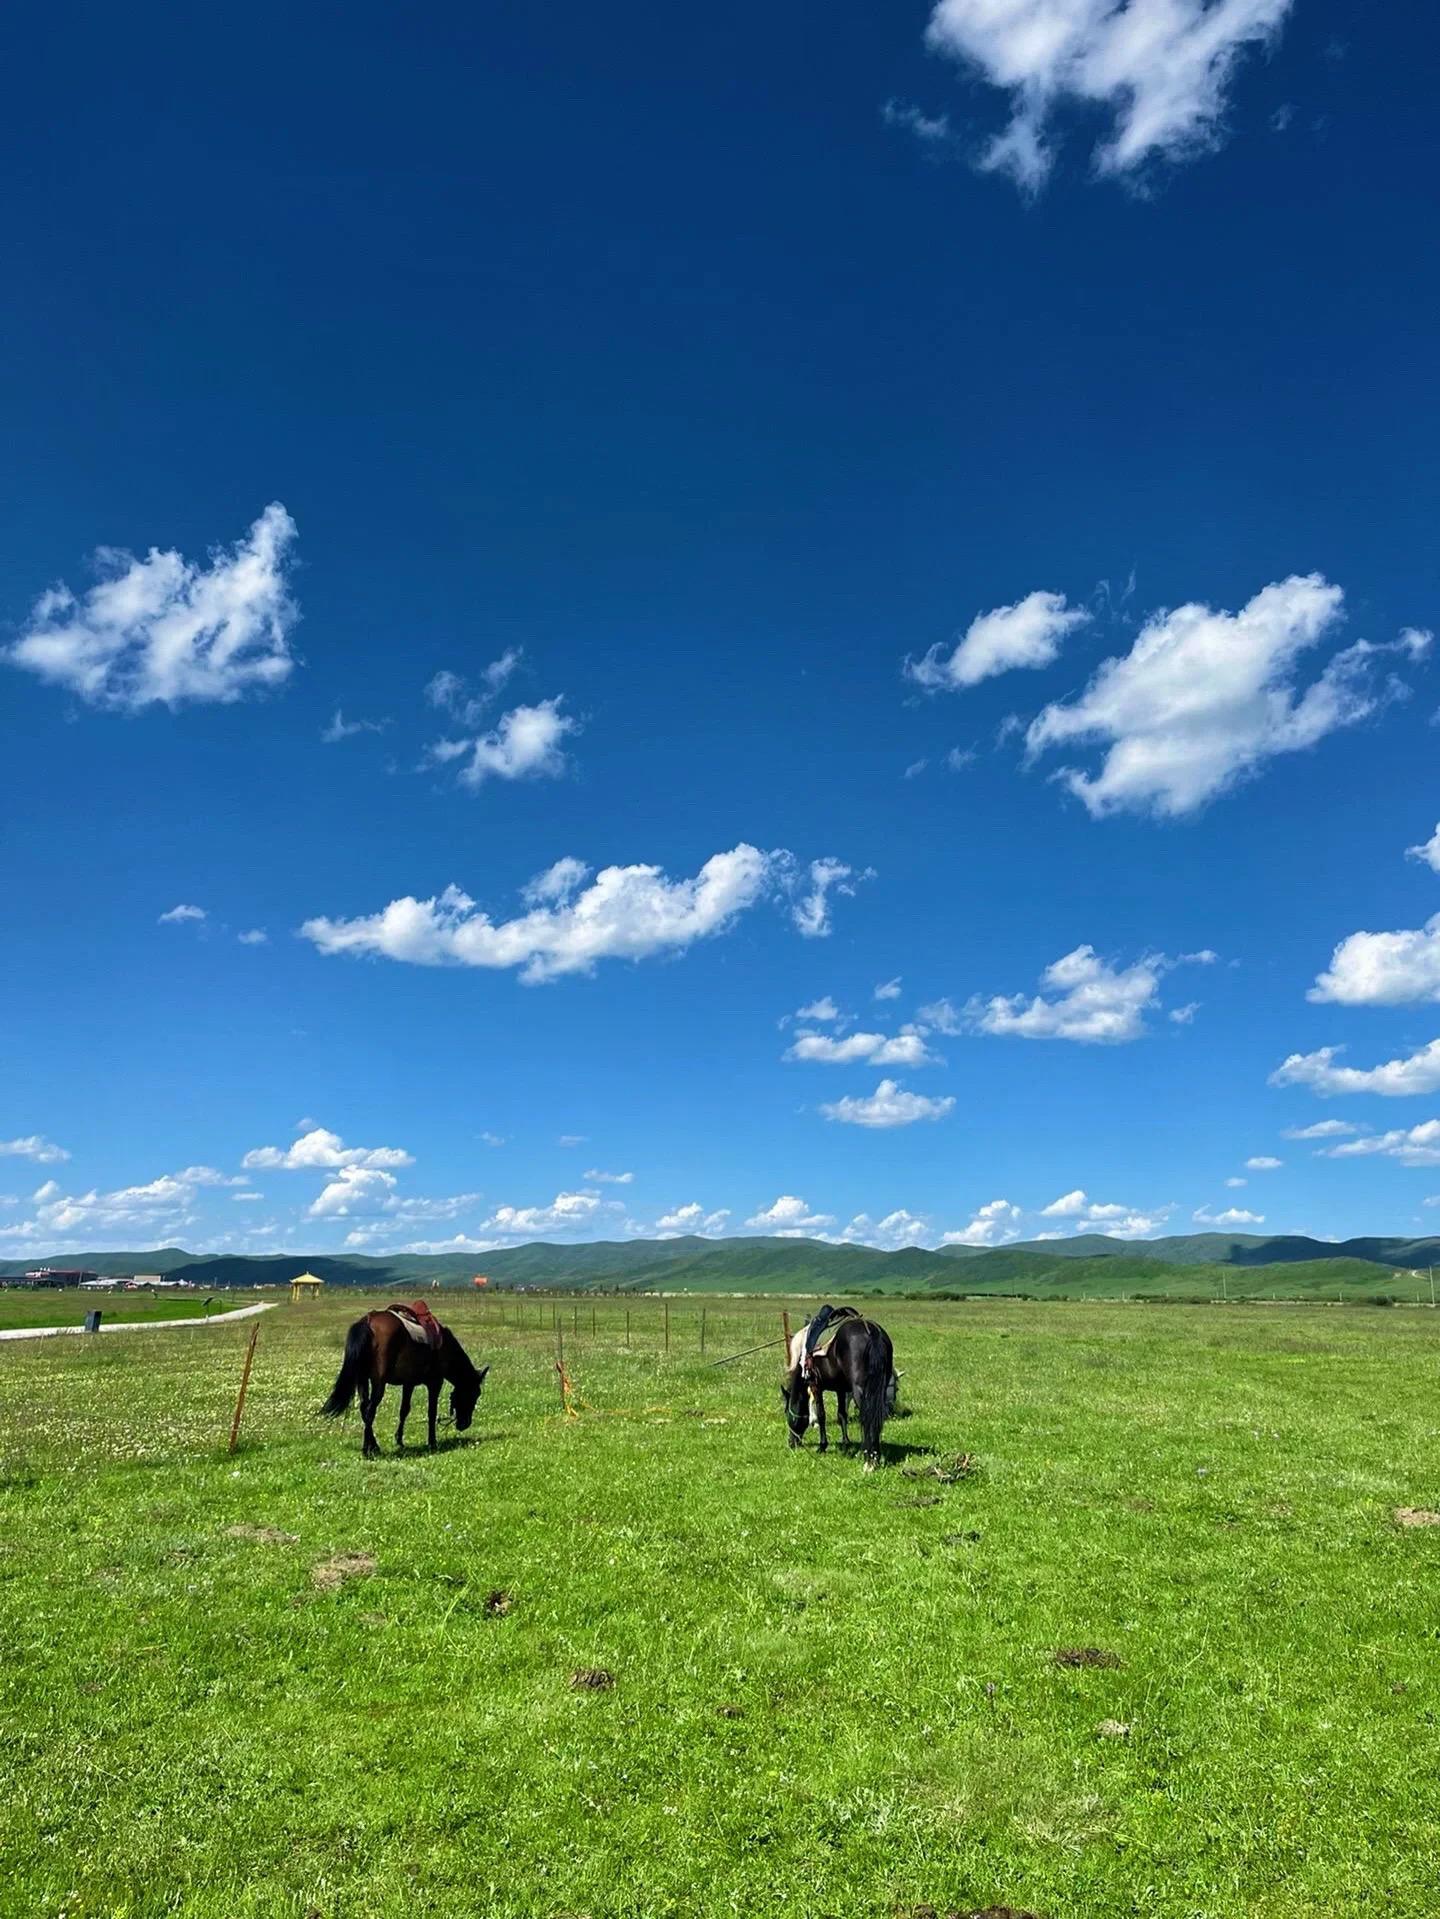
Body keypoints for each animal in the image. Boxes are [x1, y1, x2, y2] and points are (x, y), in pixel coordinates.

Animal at [320, 1304, 491, 1450]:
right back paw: (369, 1449)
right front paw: (432, 1442)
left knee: (364, 1408)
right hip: (378, 1383)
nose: (464, 1424)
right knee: (370, 1410)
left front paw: (399, 1440)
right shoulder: (435, 1383)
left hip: (363, 1379)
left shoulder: (409, 1383)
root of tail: (368, 1321)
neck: (445, 1349)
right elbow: (431, 1412)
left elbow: (404, 1410)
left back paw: (373, 1445)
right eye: (474, 1394)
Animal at [783, 1304, 898, 1466]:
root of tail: (871, 1331)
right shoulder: (841, 1389)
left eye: (787, 1412)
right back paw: (873, 1454)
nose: (792, 1442)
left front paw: (822, 1446)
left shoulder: (816, 1385)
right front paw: (846, 1444)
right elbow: (842, 1415)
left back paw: (869, 1457)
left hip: (861, 1390)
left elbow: (821, 1414)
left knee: (867, 1415)